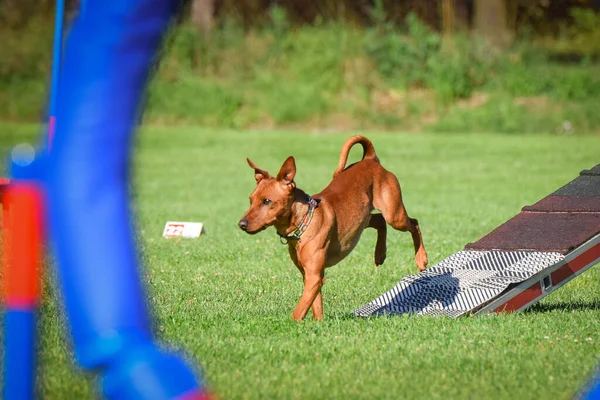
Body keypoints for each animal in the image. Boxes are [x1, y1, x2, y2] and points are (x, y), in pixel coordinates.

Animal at [237, 136, 428, 320]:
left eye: (267, 201)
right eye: (251, 200)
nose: (241, 224)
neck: (305, 223)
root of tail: (370, 159)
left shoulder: (314, 277)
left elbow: (298, 312)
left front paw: (290, 325)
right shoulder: (311, 276)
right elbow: (315, 305)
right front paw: (318, 324)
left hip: (394, 214)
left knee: (414, 223)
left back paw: (421, 258)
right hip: (363, 218)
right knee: (380, 221)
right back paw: (379, 253)